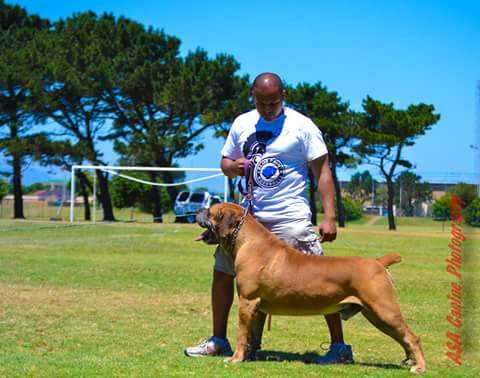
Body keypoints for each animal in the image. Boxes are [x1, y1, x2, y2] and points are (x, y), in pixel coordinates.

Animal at [196, 202, 428, 374]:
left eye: (210, 211)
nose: (197, 210)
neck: (248, 241)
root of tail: (378, 262)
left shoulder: (247, 301)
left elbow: (242, 333)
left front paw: (235, 358)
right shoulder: (258, 307)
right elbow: (253, 335)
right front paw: (250, 356)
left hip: (384, 309)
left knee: (412, 337)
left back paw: (419, 367)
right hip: (375, 314)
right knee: (403, 337)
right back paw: (410, 361)